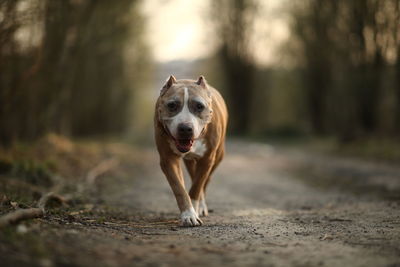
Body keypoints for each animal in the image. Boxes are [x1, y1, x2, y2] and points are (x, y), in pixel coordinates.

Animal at [154, 76, 228, 228]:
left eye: (199, 106)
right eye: (172, 105)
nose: (185, 128)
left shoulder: (207, 159)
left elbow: (197, 186)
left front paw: (194, 209)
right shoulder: (168, 160)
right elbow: (179, 188)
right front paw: (189, 214)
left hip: (218, 156)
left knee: (204, 181)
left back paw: (201, 206)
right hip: (190, 161)